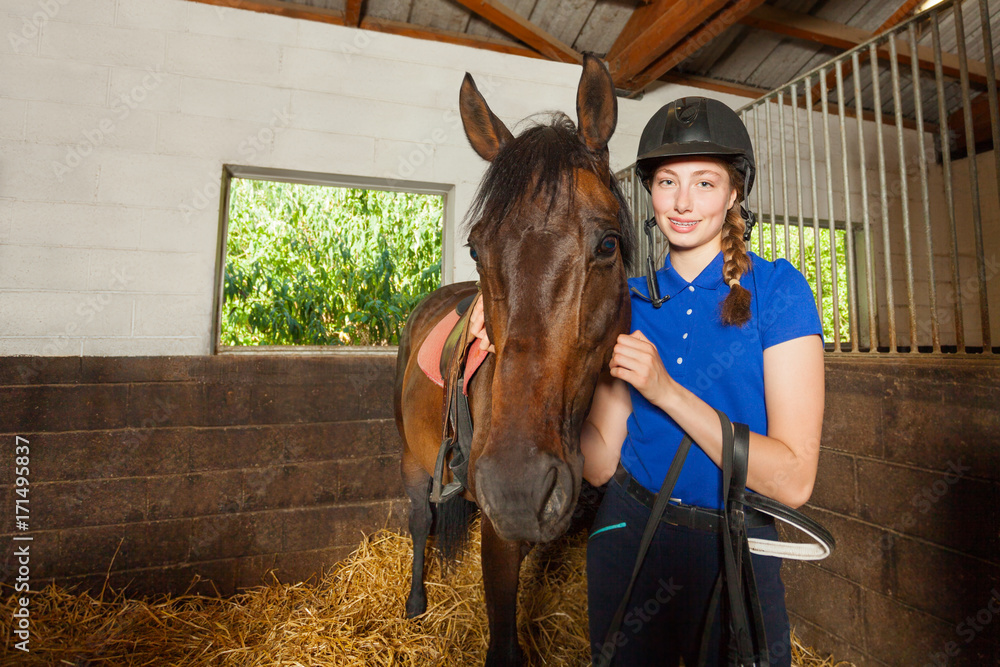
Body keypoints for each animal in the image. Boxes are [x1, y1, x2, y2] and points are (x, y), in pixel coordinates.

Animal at [390, 54, 632, 664]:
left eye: (608, 244)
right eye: (477, 248)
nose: (517, 488)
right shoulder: (499, 535)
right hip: (412, 456)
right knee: (420, 518)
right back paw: (415, 601)